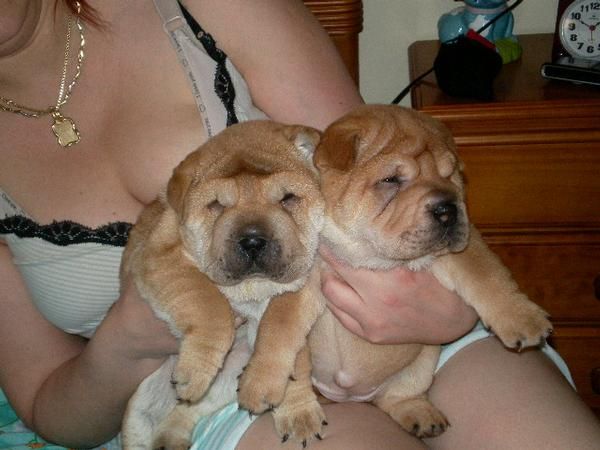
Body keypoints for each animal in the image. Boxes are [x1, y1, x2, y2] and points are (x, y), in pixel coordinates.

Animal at [122, 120, 328, 450]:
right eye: (216, 205)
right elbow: (209, 305)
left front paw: (289, 405)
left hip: (226, 379)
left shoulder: (301, 284)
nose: (253, 240)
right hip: (139, 409)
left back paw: (171, 436)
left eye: (287, 199)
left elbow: (283, 334)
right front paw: (194, 371)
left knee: (186, 409)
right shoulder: (162, 257)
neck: (253, 288)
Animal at [310, 104, 552, 436]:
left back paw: (419, 414)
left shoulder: (463, 247)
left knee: (398, 396)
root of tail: (352, 396)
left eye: (450, 175)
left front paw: (523, 319)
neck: (365, 250)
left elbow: (487, 274)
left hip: (421, 365)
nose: (448, 209)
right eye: (391, 180)